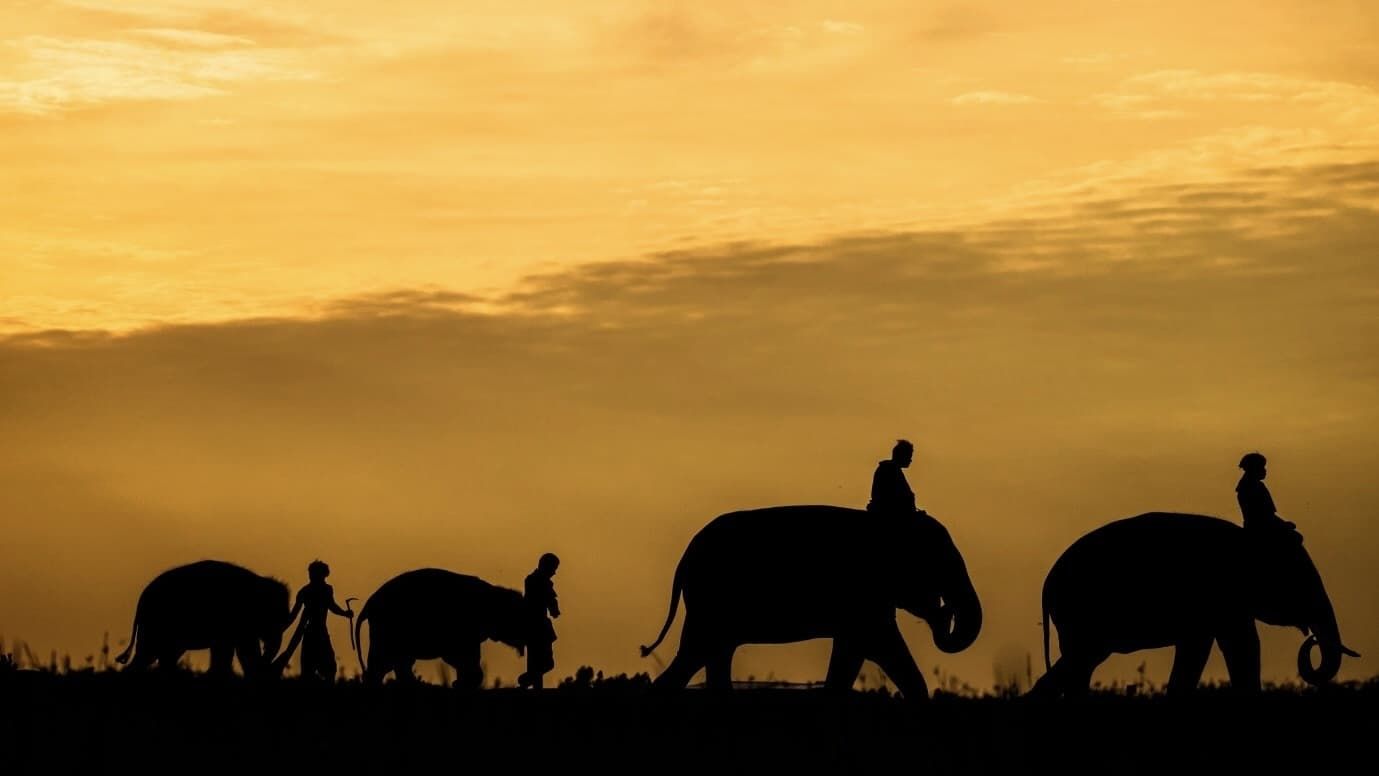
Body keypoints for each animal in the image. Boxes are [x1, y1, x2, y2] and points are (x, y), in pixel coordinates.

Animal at [113, 559, 293, 680]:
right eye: (274, 619)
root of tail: (142, 597)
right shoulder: (236, 617)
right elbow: (242, 649)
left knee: (163, 656)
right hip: (155, 623)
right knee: (149, 653)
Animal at [353, 567, 529, 689]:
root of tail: (368, 605)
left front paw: (460, 683)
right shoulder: (464, 627)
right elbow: (460, 655)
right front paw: (461, 683)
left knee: (398, 663)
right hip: (386, 629)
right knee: (384, 662)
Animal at [639, 507, 987, 700]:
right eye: (941, 564)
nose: (943, 611)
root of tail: (684, 559)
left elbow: (856, 653)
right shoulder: (863, 596)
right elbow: (877, 644)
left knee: (710, 656)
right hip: (711, 603)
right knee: (696, 654)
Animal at [1031, 509, 1362, 697]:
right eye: (1303, 578)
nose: (1312, 639)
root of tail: (1046, 584)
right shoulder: (1220, 597)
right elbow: (1240, 646)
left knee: (1076, 666)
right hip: (1081, 616)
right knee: (1079, 664)